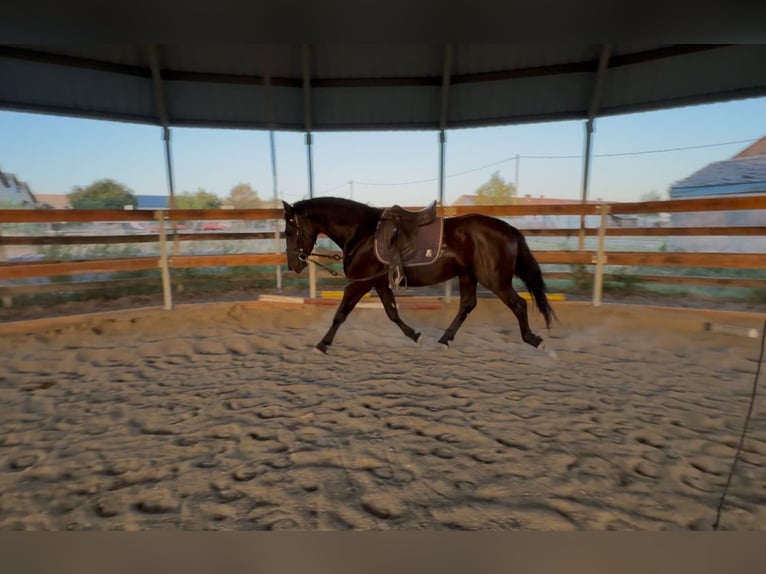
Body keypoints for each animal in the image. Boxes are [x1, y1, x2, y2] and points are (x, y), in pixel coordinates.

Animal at [282, 196, 556, 354]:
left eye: (289, 230)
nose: (294, 264)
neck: (362, 232)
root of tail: (509, 229)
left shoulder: (360, 283)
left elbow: (340, 314)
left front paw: (322, 345)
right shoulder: (379, 283)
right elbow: (392, 313)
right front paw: (416, 336)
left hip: (495, 279)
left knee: (518, 304)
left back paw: (534, 340)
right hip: (468, 276)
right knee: (467, 306)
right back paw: (444, 340)